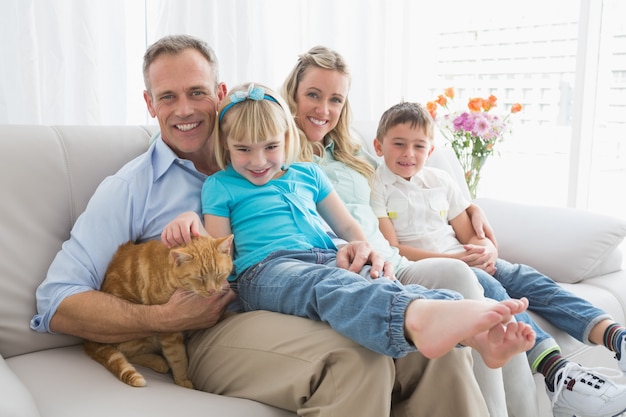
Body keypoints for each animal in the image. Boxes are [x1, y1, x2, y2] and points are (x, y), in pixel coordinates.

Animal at [80, 234, 232, 386]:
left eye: (219, 275)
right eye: (199, 278)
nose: (212, 290)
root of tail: (88, 339)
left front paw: (228, 314)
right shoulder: (170, 329)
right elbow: (178, 357)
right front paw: (182, 379)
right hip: (140, 333)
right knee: (127, 353)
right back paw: (157, 362)